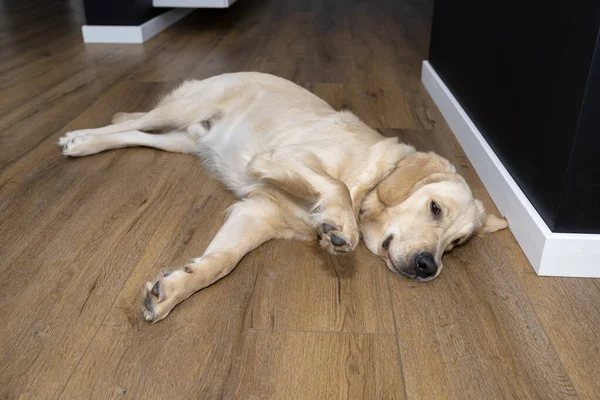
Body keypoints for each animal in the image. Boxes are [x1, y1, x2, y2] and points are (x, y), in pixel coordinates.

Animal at [56, 72, 508, 322]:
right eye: (435, 208)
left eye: (457, 244)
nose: (429, 267)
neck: (368, 181)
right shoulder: (281, 157)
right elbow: (335, 187)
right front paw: (341, 228)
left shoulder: (257, 214)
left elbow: (223, 261)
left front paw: (174, 290)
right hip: (184, 110)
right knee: (127, 122)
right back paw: (77, 138)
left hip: (183, 141)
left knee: (133, 133)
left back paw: (87, 143)